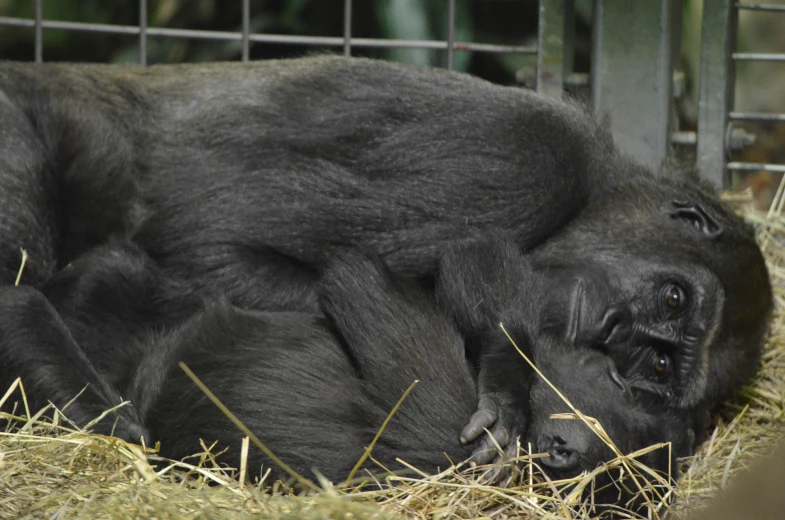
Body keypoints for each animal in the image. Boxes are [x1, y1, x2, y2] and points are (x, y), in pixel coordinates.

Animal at [0, 54, 772, 464]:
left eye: (658, 367)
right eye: (672, 299)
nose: (617, 332)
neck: (592, 192)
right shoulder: (521, 154)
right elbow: (206, 243)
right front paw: (504, 361)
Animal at [0, 242, 692, 512]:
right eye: (621, 380)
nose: (612, 357)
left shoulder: (443, 437)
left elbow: (358, 279)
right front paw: (505, 372)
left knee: (30, 322)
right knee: (112, 275)